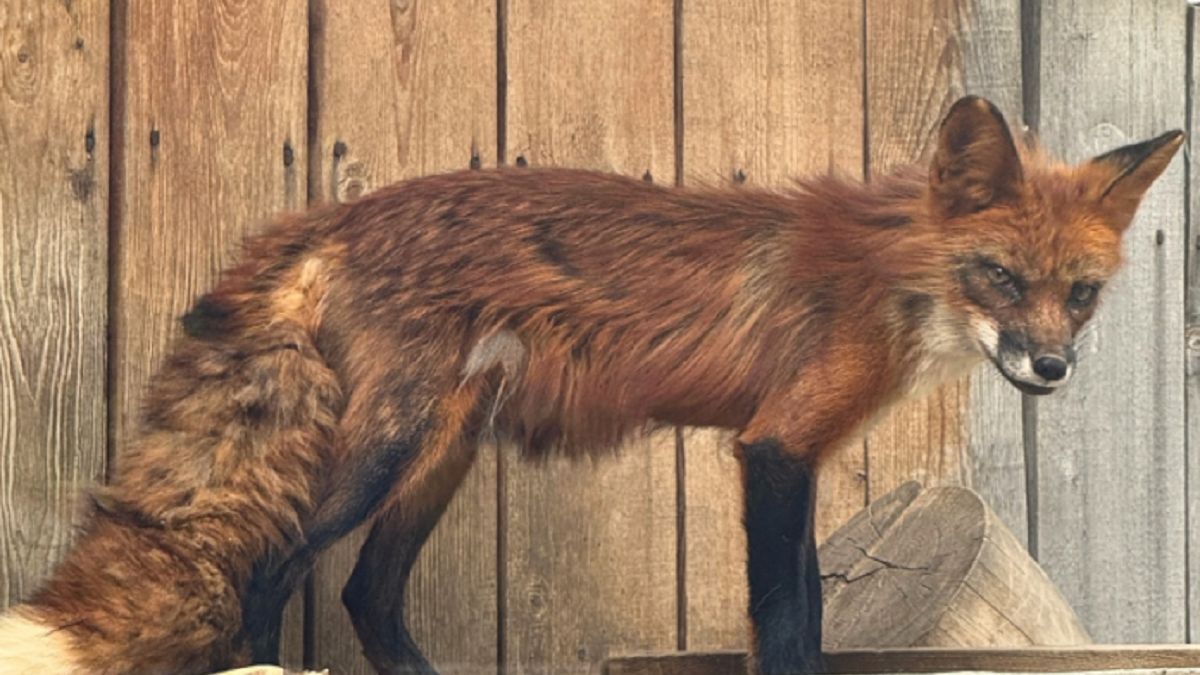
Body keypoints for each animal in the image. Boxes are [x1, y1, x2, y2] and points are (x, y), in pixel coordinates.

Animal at [0, 96, 1183, 675]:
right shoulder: (776, 445)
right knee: (271, 574)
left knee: (365, 594)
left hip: (441, 451)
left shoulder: (790, 447)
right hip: (377, 451)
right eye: (1004, 278)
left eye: (1080, 294)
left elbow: (798, 601)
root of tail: (338, 211)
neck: (893, 277)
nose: (1051, 367)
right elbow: (786, 617)